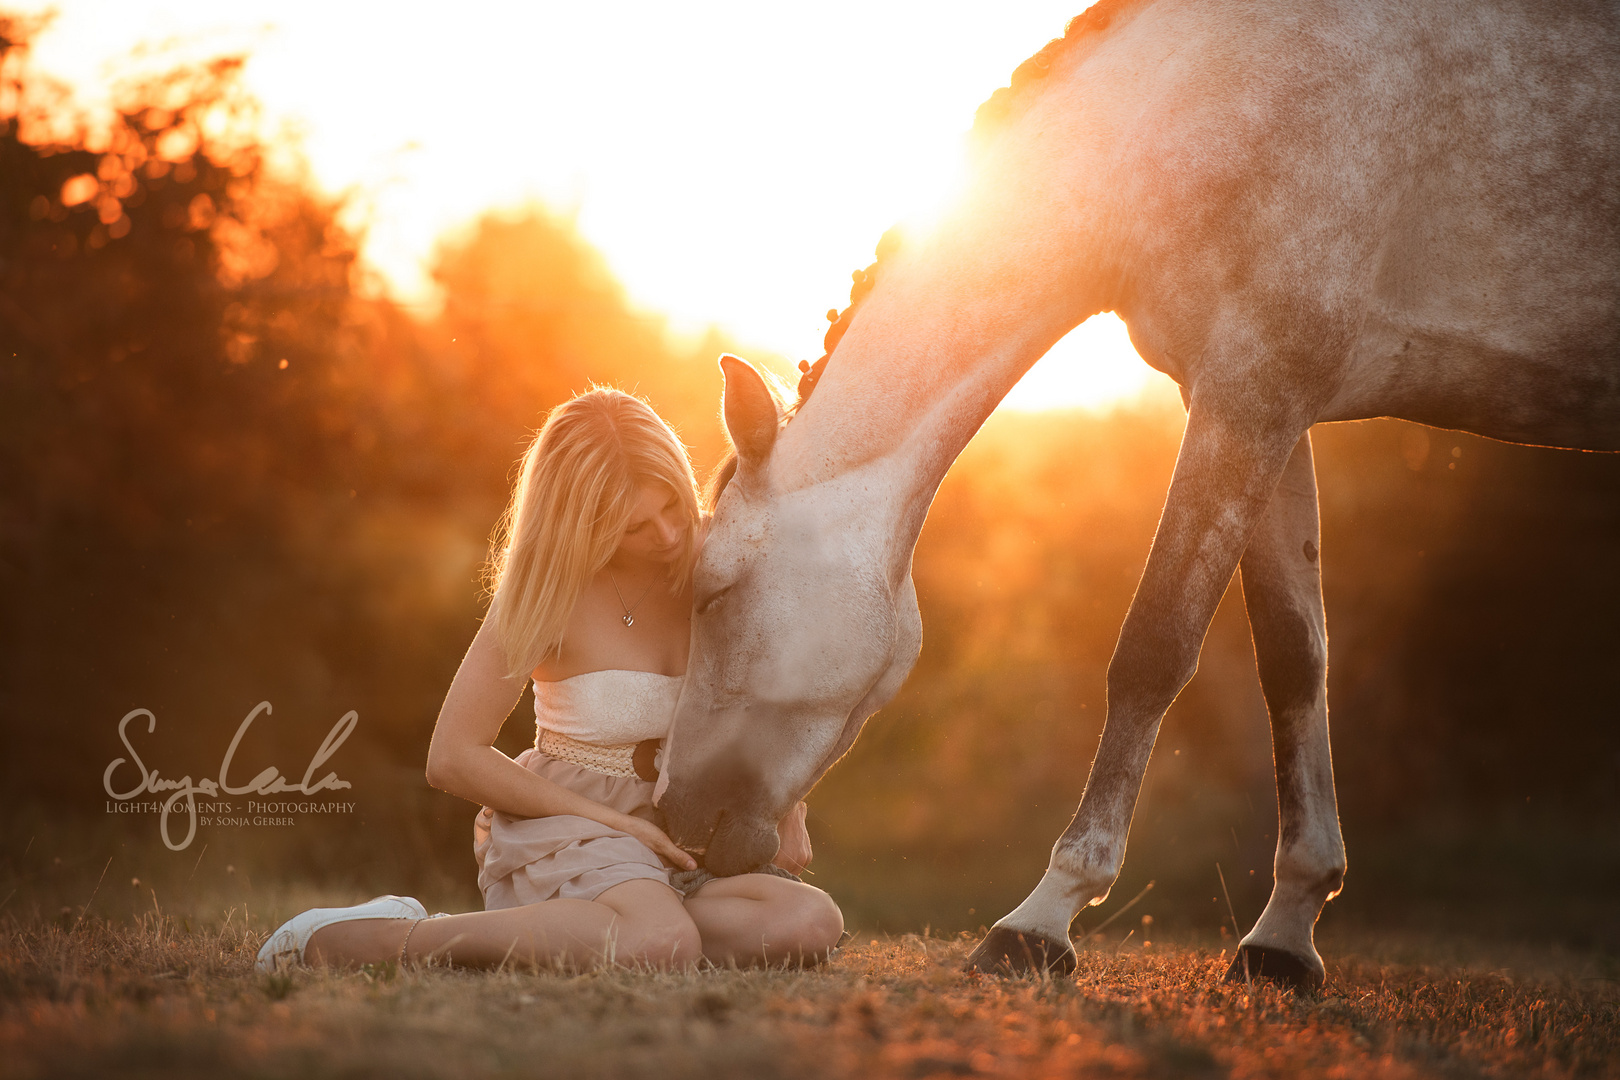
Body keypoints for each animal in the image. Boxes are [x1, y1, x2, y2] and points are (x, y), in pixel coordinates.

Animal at [651, 0, 1613, 990]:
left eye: (711, 593)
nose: (675, 820)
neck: (1205, 103)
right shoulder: (1262, 403)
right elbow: (1295, 661)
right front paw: (1285, 934)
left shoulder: (1254, 386)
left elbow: (1153, 649)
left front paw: (1041, 919)